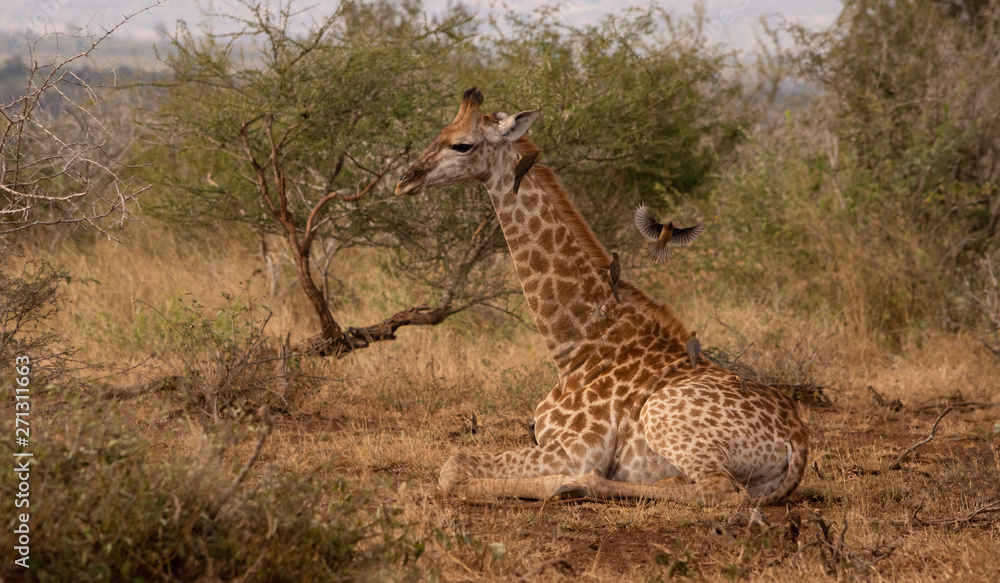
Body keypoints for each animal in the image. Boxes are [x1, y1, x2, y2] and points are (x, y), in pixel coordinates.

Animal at [395, 88, 809, 505]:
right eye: (440, 131)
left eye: (463, 144)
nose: (405, 180)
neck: (576, 345)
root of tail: (798, 444)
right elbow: (455, 463)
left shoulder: (575, 449)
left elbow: (452, 467)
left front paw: (557, 484)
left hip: (662, 417)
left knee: (720, 489)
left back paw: (577, 486)